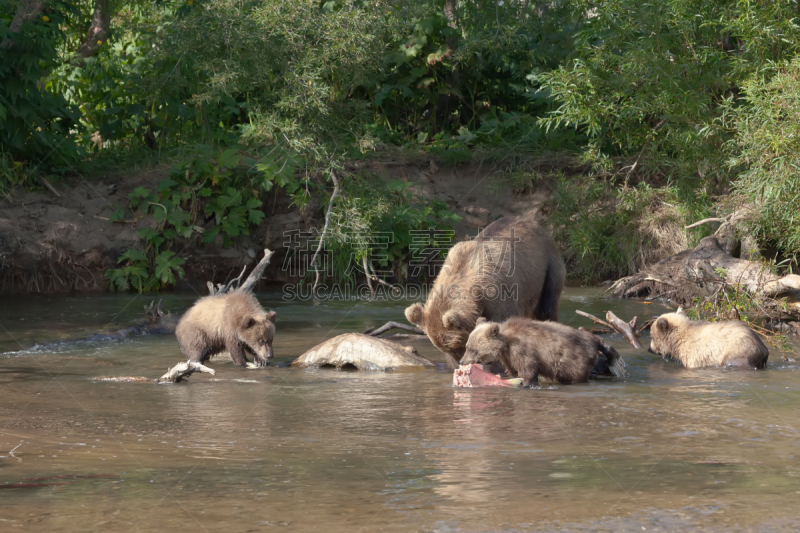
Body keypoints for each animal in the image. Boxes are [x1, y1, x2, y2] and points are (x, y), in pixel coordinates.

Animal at [404, 214, 564, 368]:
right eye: (447, 349)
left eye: (458, 346)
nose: (460, 362)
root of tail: (531, 221)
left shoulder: (499, 294)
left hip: (547, 268)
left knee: (546, 308)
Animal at [460, 316, 620, 386]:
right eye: (467, 346)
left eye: (472, 349)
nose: (462, 361)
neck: (505, 344)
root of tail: (594, 342)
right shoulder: (508, 357)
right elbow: (514, 370)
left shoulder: (523, 350)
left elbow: (528, 370)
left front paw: (527, 383)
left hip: (575, 361)